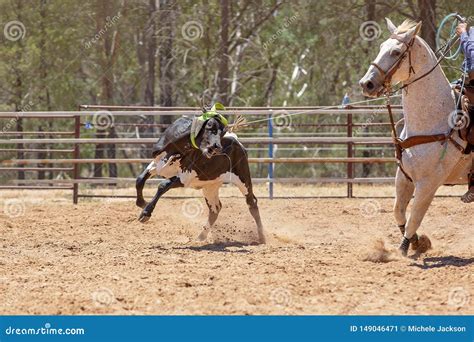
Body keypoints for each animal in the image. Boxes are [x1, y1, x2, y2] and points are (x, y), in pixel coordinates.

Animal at [135, 116, 264, 244]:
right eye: (209, 127)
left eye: (222, 132)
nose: (217, 147)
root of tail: (238, 143)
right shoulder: (157, 164)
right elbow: (140, 180)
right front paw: (141, 202)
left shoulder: (184, 178)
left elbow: (162, 185)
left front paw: (145, 213)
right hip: (210, 186)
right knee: (215, 209)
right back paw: (201, 236)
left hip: (243, 179)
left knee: (252, 203)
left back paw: (262, 237)